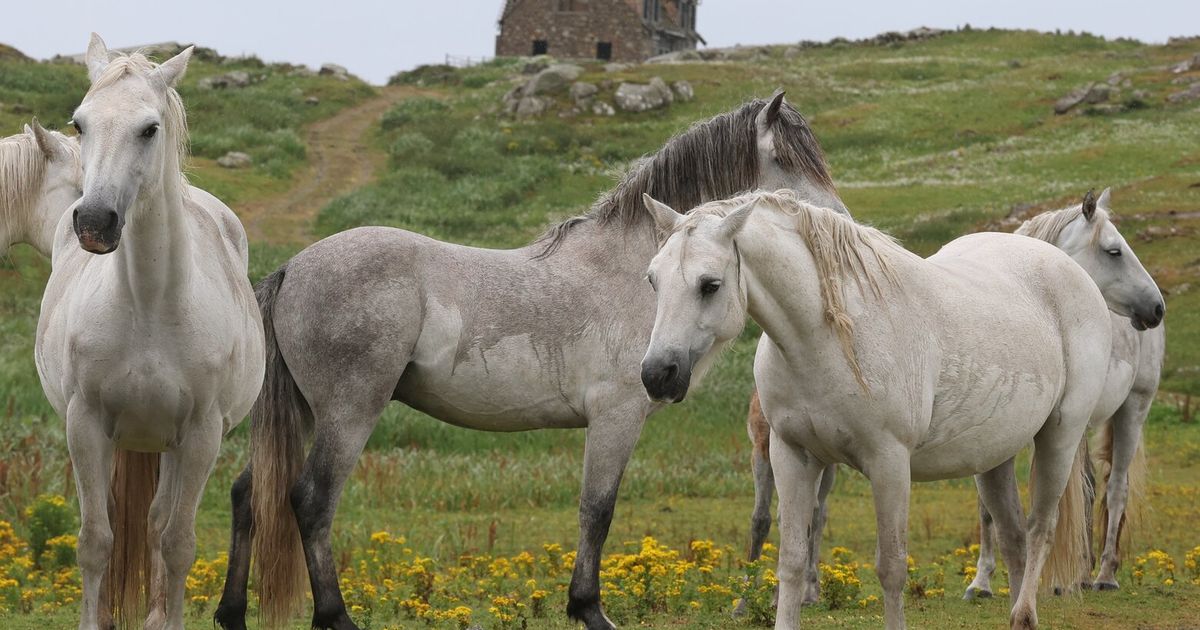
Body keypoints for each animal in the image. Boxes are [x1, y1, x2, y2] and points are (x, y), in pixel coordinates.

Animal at [34, 34, 265, 630]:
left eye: (149, 129)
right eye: (79, 123)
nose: (94, 222)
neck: (148, 306)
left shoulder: (202, 435)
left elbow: (177, 543)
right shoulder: (85, 424)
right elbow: (96, 540)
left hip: (173, 446)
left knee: (161, 524)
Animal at [211, 91, 847, 630]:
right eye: (788, 162)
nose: (841, 222)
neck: (638, 273)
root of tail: (293, 268)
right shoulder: (616, 418)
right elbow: (597, 510)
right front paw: (589, 609)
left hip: (308, 412)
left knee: (250, 495)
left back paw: (232, 613)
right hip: (349, 412)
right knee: (311, 500)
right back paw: (335, 617)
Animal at [639, 189, 1154, 629]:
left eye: (710, 285)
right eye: (652, 280)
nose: (657, 373)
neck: (828, 337)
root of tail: (1070, 272)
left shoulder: (888, 464)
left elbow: (890, 568)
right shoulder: (792, 456)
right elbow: (791, 561)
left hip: (1061, 437)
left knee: (1042, 527)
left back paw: (1027, 612)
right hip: (995, 458)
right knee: (1014, 539)